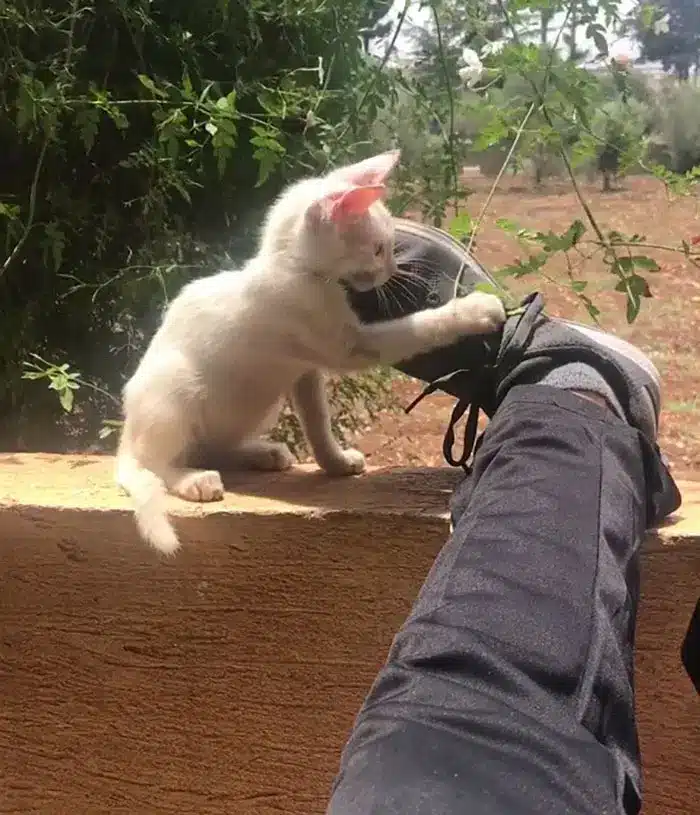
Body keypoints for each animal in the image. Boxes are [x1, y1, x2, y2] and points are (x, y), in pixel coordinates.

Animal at [117, 148, 506, 556]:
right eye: (378, 249)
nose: (393, 268)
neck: (296, 268)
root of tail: (128, 434)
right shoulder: (348, 346)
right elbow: (420, 327)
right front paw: (476, 310)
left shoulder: (305, 372)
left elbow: (317, 421)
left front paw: (335, 462)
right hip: (174, 390)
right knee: (154, 464)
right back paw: (193, 480)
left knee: (210, 446)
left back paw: (260, 453)